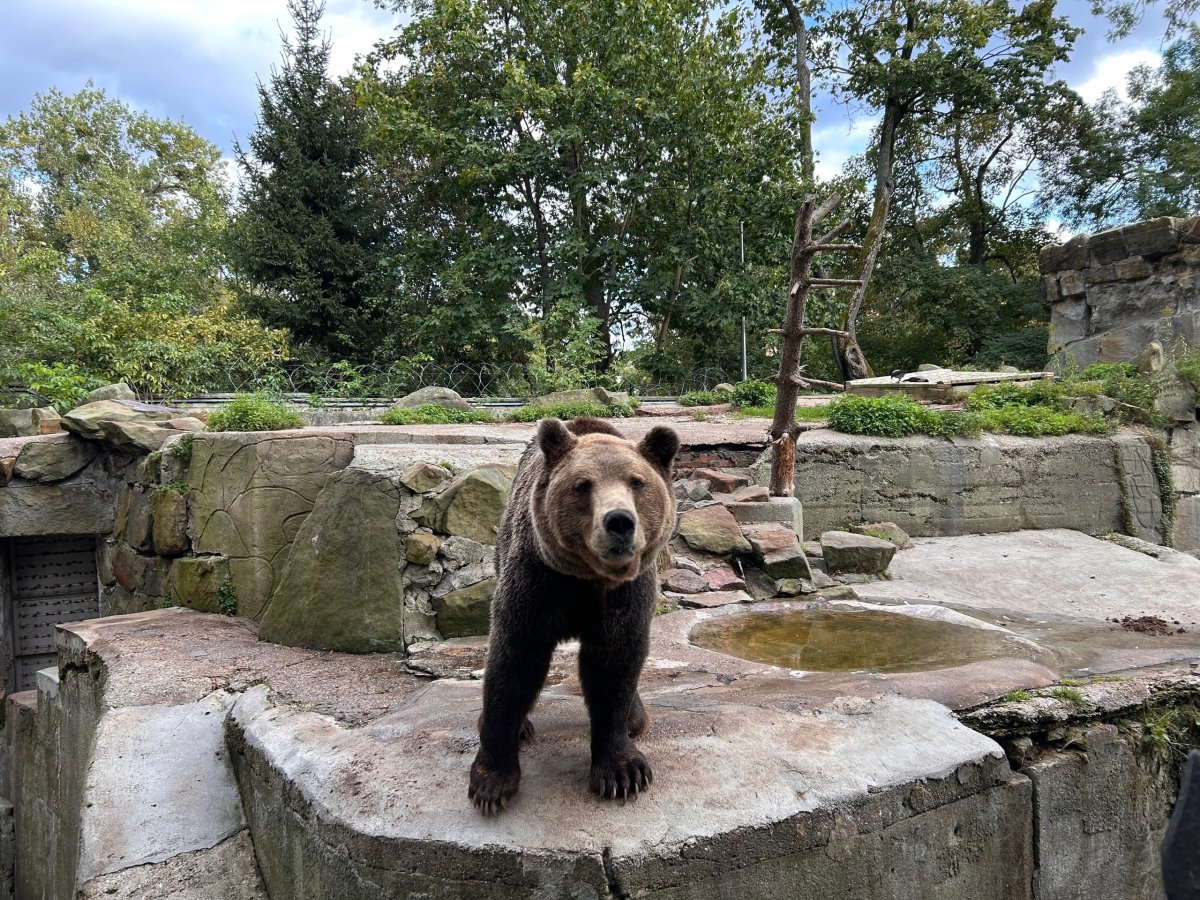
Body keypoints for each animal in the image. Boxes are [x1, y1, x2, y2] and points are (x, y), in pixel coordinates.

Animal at [468, 416, 680, 815]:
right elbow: (514, 664)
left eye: (637, 482)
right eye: (583, 485)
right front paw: (491, 781)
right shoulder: (537, 583)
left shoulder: (624, 597)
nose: (619, 522)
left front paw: (622, 772)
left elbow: (615, 667)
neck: (588, 579)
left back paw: (635, 717)